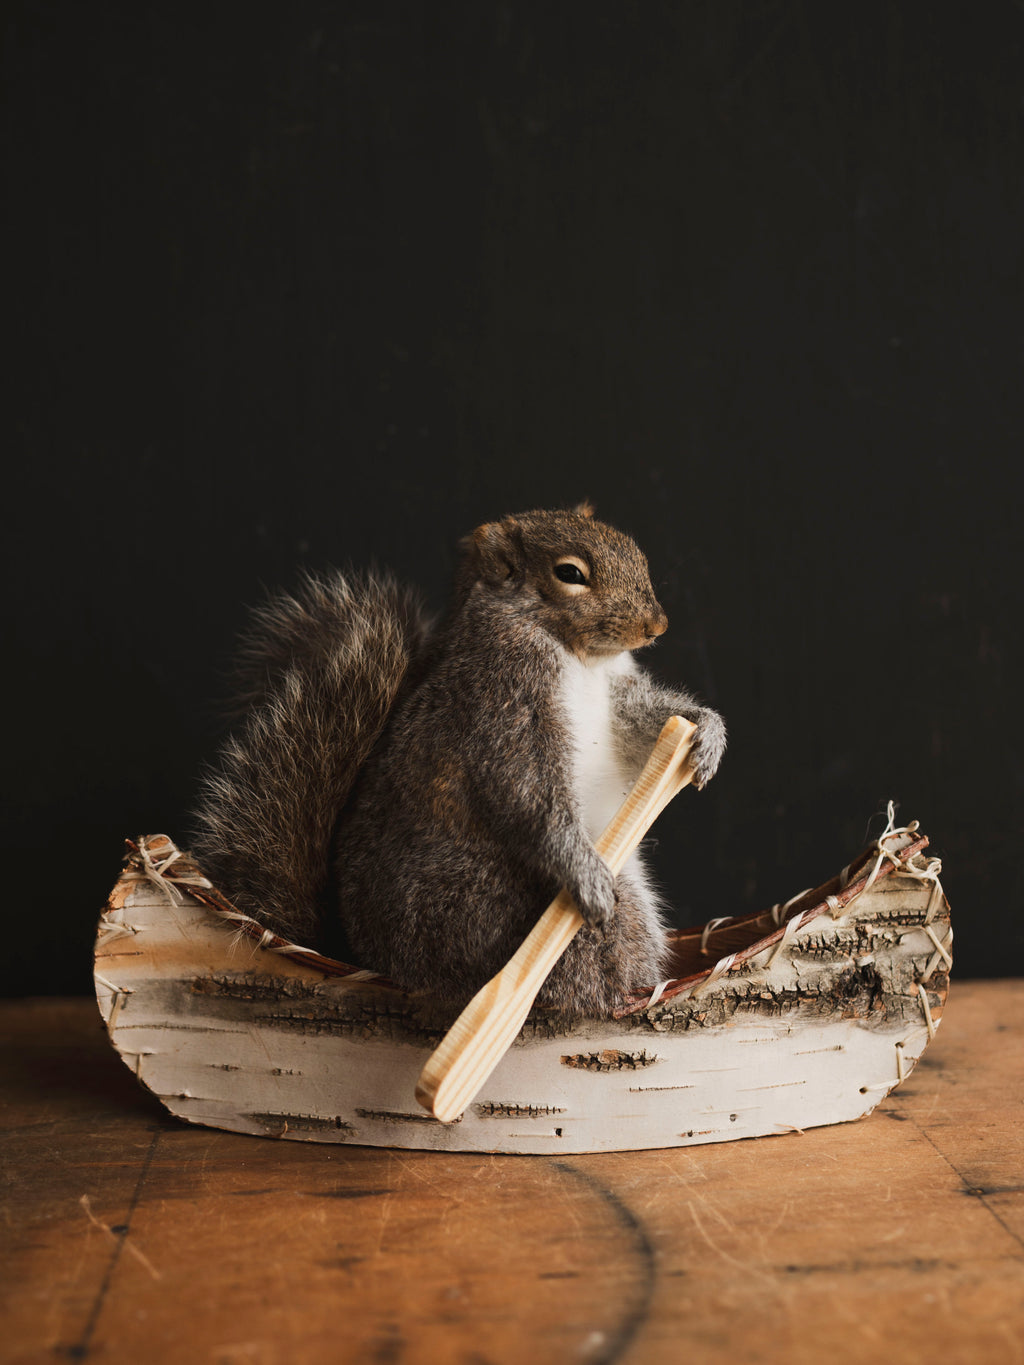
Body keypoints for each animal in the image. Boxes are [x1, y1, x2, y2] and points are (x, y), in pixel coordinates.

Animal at [192, 504, 726, 1017]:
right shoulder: (503, 700)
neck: (578, 655)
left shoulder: (618, 693)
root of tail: (372, 959)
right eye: (570, 573)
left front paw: (707, 730)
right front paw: (585, 875)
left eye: (635, 551)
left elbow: (646, 722)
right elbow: (529, 793)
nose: (656, 625)